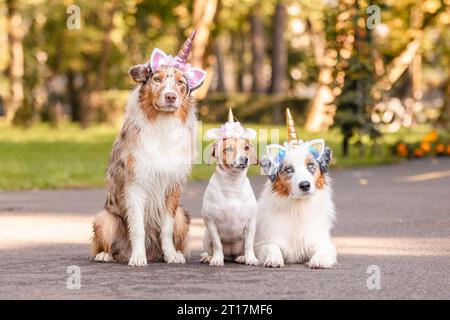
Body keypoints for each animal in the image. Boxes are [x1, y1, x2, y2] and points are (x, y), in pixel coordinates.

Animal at [200, 109, 258, 266]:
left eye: (246, 148)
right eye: (229, 149)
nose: (244, 159)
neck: (232, 184)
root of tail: (231, 255)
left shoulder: (251, 223)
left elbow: (249, 244)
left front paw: (251, 258)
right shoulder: (211, 224)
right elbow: (217, 244)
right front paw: (216, 259)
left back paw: (241, 257)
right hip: (206, 236)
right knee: (211, 248)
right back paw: (209, 257)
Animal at [255, 109, 336, 268]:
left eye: (310, 165)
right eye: (288, 169)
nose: (305, 185)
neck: (298, 208)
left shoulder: (322, 242)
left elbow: (323, 251)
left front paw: (319, 261)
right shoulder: (263, 242)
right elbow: (272, 247)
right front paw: (274, 259)